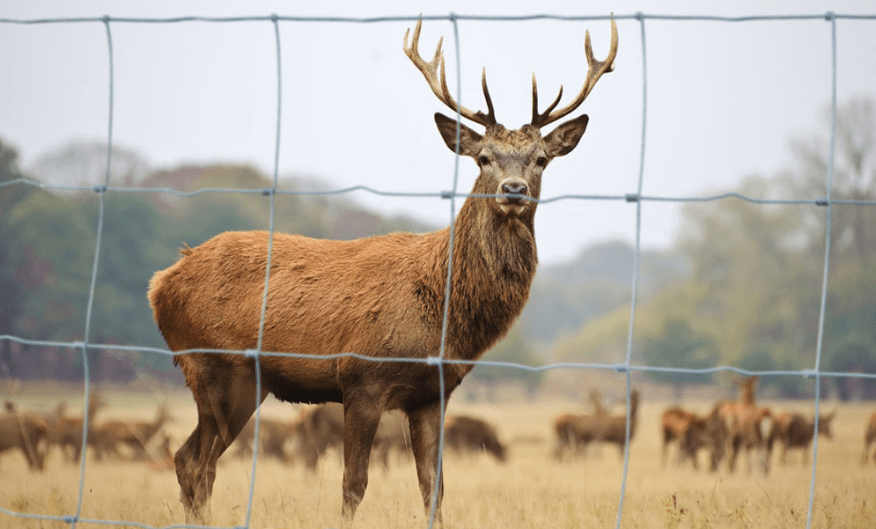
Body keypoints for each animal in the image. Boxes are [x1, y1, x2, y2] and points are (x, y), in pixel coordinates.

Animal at [149, 16, 616, 524]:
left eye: (541, 159)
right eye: (483, 158)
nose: (513, 189)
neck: (443, 313)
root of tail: (161, 283)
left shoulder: (433, 394)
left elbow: (434, 487)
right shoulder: (361, 379)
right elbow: (354, 484)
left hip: (243, 381)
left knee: (194, 461)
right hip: (214, 366)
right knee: (194, 461)